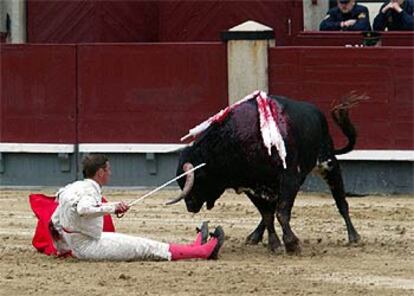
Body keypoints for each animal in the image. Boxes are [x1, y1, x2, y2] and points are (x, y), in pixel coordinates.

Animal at [167, 93, 366, 254]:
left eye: (198, 179)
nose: (190, 206)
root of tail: (317, 113)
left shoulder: (289, 178)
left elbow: (281, 212)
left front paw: (292, 244)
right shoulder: (250, 186)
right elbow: (268, 214)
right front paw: (275, 244)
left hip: (328, 163)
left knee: (341, 201)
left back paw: (354, 237)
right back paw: (254, 237)